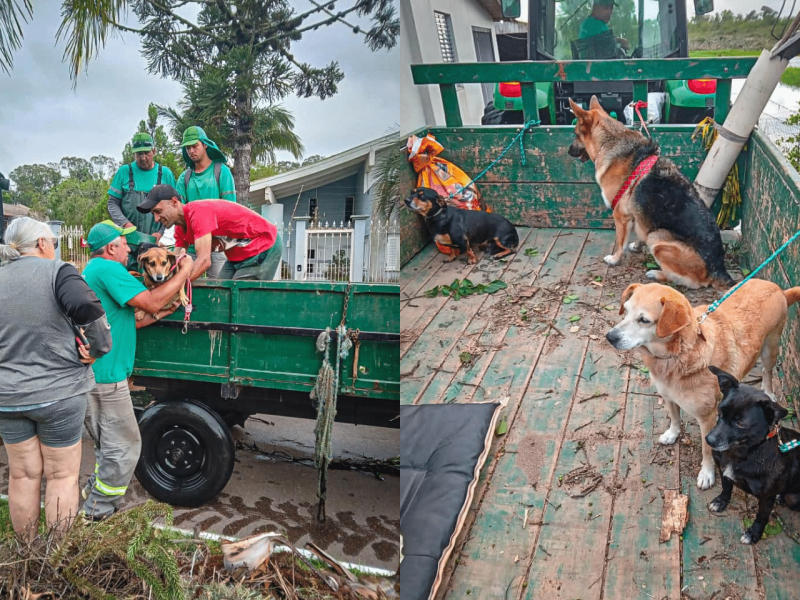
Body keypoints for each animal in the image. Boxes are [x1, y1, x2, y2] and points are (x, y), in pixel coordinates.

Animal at [568, 95, 732, 290]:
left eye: (576, 135)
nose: (568, 151)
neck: (610, 140)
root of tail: (717, 269)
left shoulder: (620, 216)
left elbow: (620, 243)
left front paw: (615, 259)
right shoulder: (636, 215)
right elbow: (639, 232)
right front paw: (637, 246)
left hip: (657, 238)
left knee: (681, 280)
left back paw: (656, 273)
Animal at [608, 278, 800, 490]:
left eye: (644, 320)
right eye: (625, 311)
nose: (610, 337)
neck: (679, 354)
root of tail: (776, 287)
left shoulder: (707, 418)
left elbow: (707, 450)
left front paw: (707, 474)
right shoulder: (668, 397)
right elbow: (675, 418)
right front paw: (672, 434)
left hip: (770, 350)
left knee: (767, 372)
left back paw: (768, 391)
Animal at [708, 366, 800, 544]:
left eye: (741, 423)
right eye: (720, 411)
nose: (709, 440)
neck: (742, 452)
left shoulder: (766, 498)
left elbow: (761, 518)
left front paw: (753, 533)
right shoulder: (724, 472)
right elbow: (726, 488)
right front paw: (721, 502)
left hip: (794, 498)